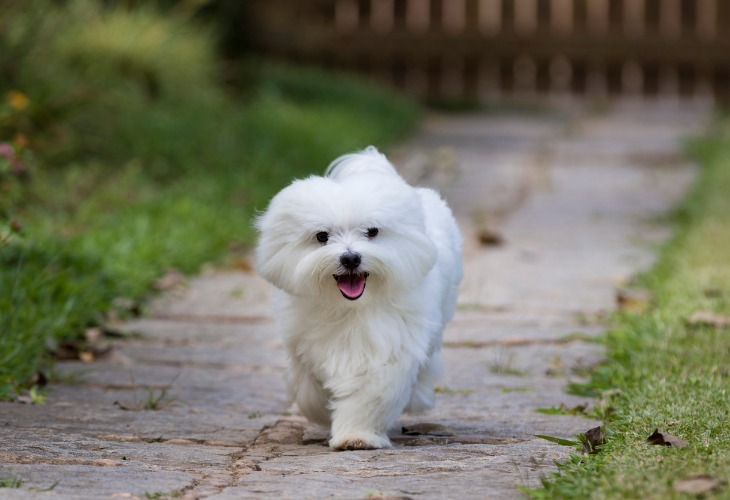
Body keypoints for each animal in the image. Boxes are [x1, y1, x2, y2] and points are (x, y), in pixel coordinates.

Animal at [255, 146, 460, 452]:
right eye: (322, 236)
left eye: (372, 231)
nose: (350, 258)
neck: (348, 309)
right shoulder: (302, 346)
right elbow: (308, 391)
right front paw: (323, 412)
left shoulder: (386, 349)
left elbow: (368, 395)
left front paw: (356, 436)